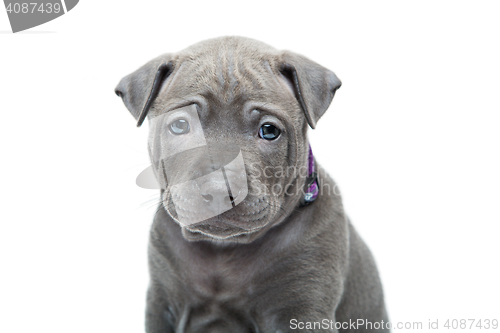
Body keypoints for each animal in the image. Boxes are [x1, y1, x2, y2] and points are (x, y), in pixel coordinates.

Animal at [115, 36, 388, 332]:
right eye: (179, 126)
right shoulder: (162, 303)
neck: (222, 249)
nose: (218, 190)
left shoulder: (304, 311)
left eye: (269, 131)